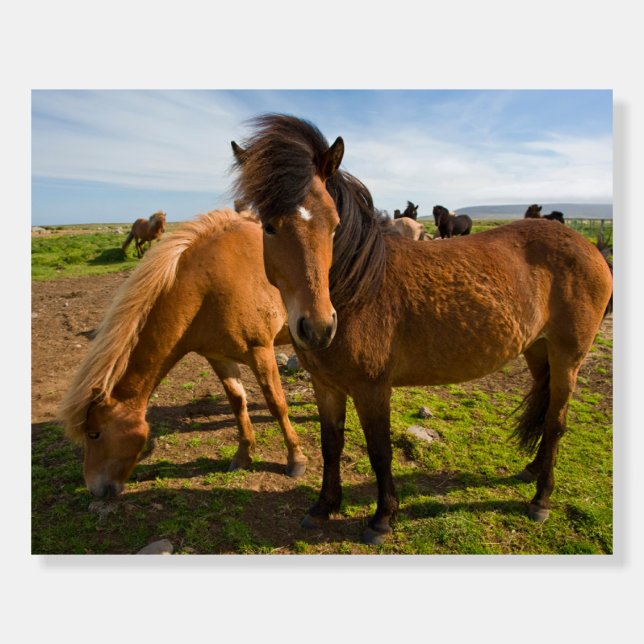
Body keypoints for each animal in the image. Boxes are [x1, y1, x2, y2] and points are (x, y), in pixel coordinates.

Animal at [59, 209, 308, 499]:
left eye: (94, 434)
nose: (95, 489)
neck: (208, 286)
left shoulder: (261, 351)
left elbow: (277, 404)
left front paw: (296, 458)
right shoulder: (218, 358)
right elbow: (238, 403)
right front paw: (243, 456)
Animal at [231, 114, 613, 545]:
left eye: (333, 224)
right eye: (268, 226)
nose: (317, 327)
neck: (359, 289)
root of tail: (589, 247)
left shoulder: (372, 388)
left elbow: (379, 451)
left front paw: (382, 518)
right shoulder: (326, 385)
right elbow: (332, 445)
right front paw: (323, 507)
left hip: (569, 357)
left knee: (557, 421)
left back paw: (541, 499)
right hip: (537, 350)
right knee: (547, 413)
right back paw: (532, 470)